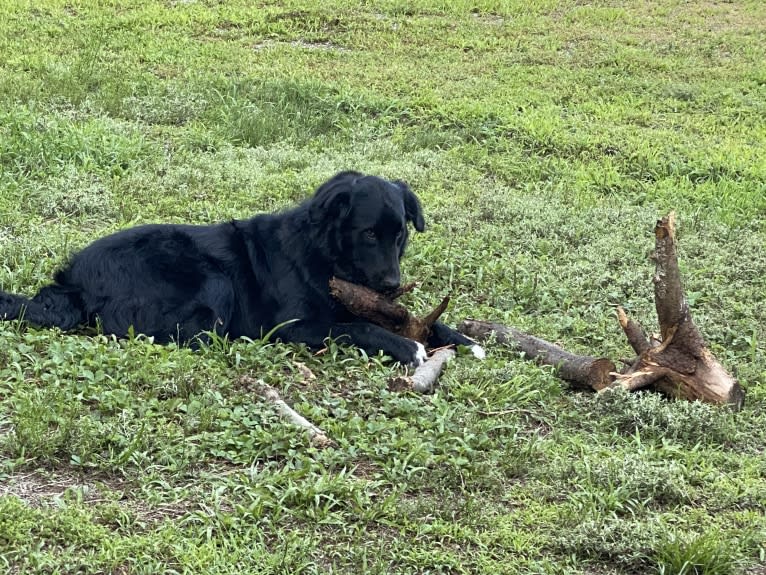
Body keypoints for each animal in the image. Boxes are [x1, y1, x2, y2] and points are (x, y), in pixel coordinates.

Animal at [0, 171, 484, 366]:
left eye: (399, 234)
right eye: (367, 234)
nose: (391, 284)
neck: (323, 256)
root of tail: (72, 283)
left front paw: (466, 341)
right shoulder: (295, 326)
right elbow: (355, 327)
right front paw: (407, 347)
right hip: (212, 278)